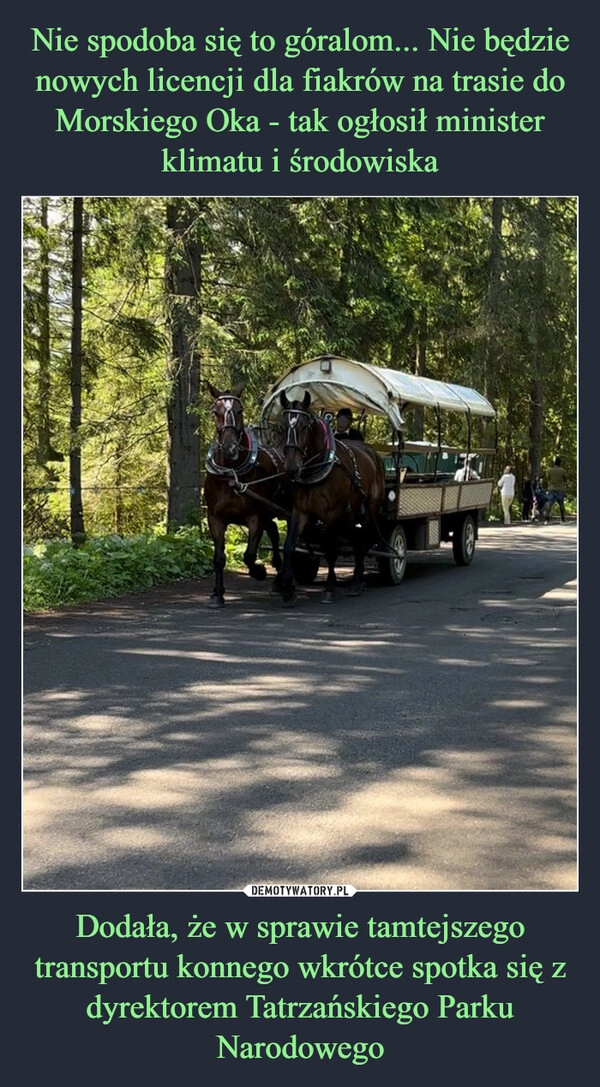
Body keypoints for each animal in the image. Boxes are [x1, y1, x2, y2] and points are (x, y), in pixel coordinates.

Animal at [204, 382, 289, 608]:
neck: (231, 474)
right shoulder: (215, 518)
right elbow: (219, 558)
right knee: (274, 531)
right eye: (215, 412)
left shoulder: (255, 517)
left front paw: (259, 571)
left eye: (239, 410)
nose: (231, 448)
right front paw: (217, 594)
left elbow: (249, 555)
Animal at [280, 389, 386, 608]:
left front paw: (329, 589)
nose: (291, 468)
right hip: (351, 512)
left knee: (363, 541)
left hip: (370, 508)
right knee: (356, 540)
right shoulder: (300, 511)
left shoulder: (332, 513)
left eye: (304, 426)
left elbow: (330, 549)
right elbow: (289, 547)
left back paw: (356, 581)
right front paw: (287, 590)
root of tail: (373, 453)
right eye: (283, 426)